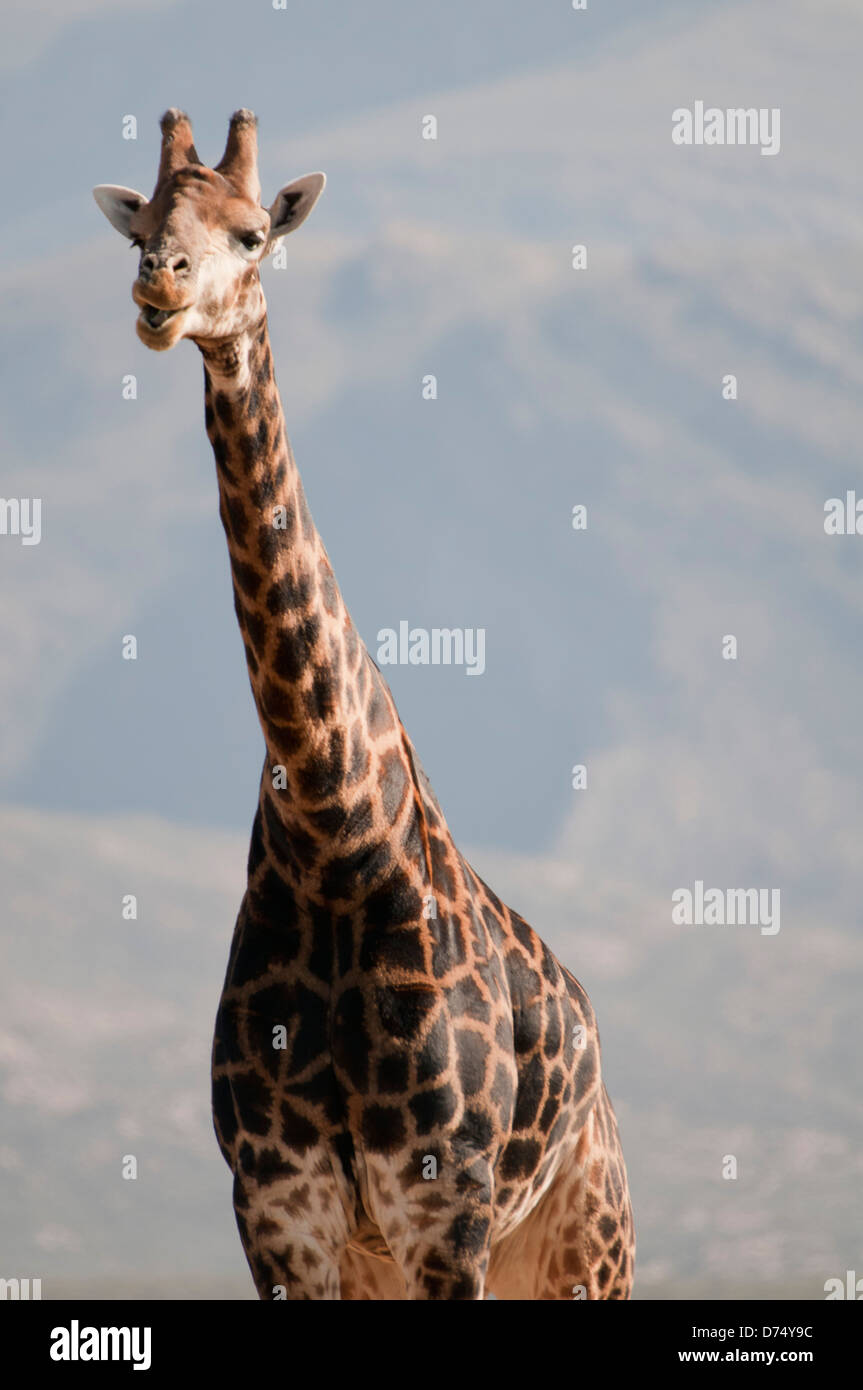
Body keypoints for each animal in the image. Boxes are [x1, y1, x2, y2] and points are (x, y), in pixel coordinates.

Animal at [94, 109, 634, 1300]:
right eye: (144, 231)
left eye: (252, 235)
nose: (159, 290)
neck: (336, 832)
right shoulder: (282, 1215)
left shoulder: (444, 1210)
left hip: (584, 1244)